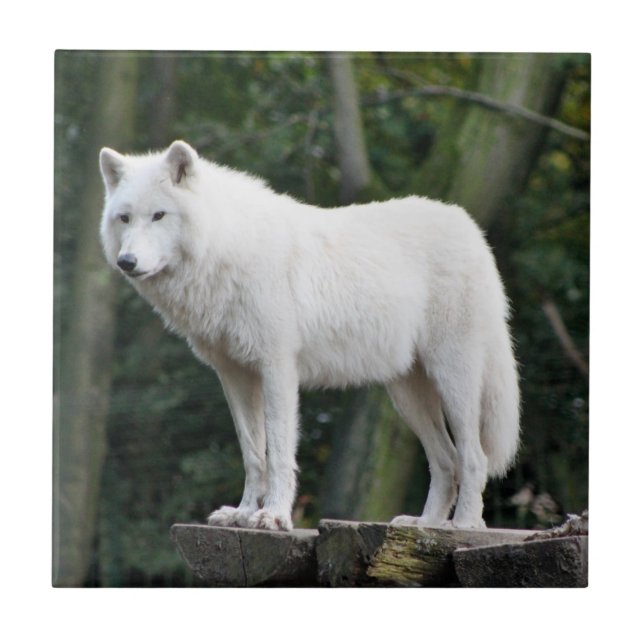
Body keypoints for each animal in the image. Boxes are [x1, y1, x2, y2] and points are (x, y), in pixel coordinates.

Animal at [99, 140, 520, 532]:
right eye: (124, 218)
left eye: (159, 215)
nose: (126, 262)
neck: (226, 248)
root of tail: (470, 228)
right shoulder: (234, 376)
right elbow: (253, 454)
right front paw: (243, 514)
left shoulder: (278, 369)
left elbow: (279, 452)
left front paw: (273, 516)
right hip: (407, 394)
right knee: (446, 460)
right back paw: (424, 525)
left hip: (453, 380)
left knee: (474, 457)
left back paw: (464, 525)